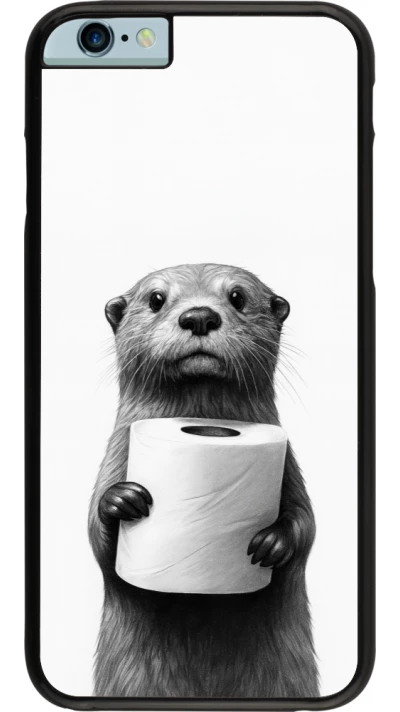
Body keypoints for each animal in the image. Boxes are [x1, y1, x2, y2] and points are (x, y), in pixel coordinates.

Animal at [88, 263, 318, 698]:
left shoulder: (290, 468)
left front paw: (273, 542)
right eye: (156, 299)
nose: (199, 316)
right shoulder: (114, 457)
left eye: (238, 297)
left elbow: (307, 524)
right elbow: (96, 537)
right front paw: (121, 501)